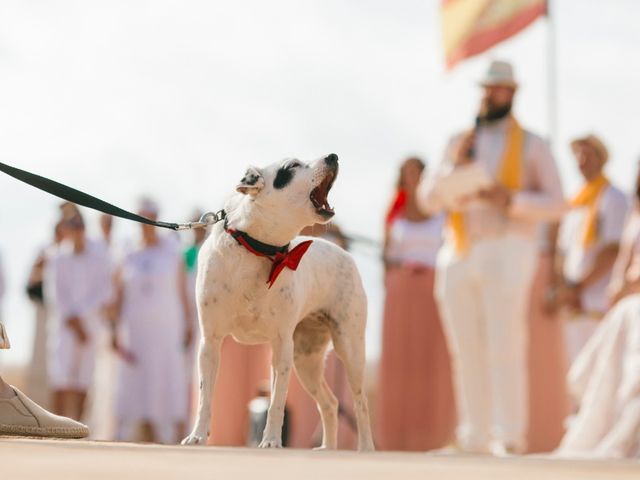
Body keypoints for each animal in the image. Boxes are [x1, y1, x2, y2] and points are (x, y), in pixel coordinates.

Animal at [182, 153, 376, 450]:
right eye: (292, 166)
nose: (332, 156)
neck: (258, 249)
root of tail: (345, 254)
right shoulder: (211, 342)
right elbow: (205, 398)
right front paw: (198, 436)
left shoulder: (282, 344)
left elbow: (276, 402)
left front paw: (271, 440)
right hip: (306, 360)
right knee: (330, 403)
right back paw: (327, 448)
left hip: (349, 349)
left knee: (360, 403)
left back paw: (365, 448)